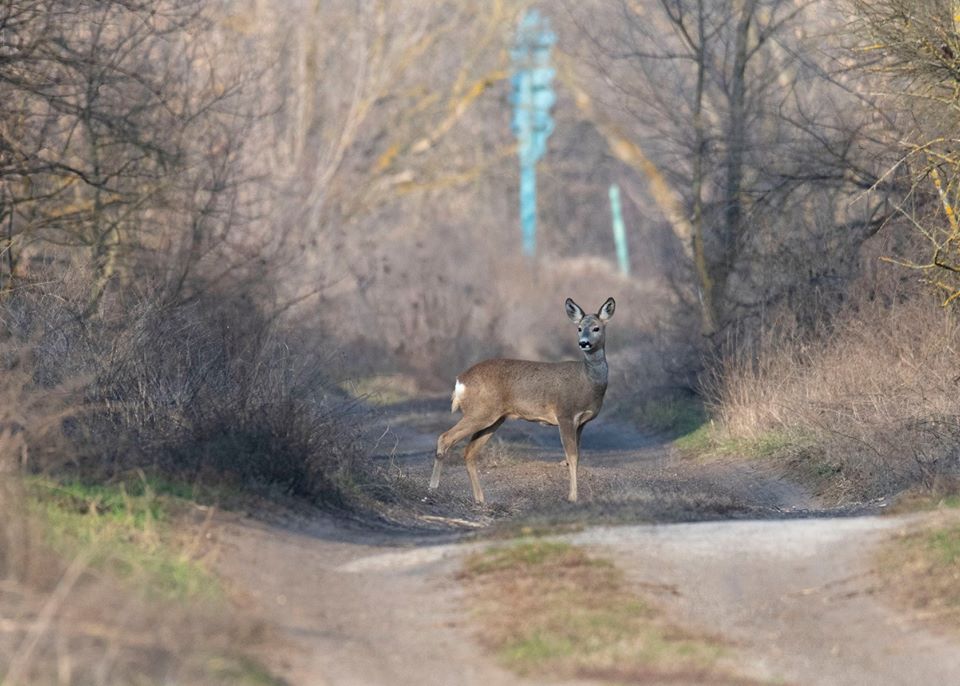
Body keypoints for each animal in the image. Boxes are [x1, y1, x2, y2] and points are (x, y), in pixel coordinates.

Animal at [428, 296, 616, 506]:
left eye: (596, 328)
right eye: (579, 328)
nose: (584, 343)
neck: (587, 380)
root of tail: (460, 380)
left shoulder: (581, 423)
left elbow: (577, 457)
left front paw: (574, 495)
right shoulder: (565, 415)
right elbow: (572, 457)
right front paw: (572, 497)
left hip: (494, 419)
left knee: (469, 452)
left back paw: (480, 499)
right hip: (480, 412)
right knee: (445, 437)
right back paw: (433, 488)